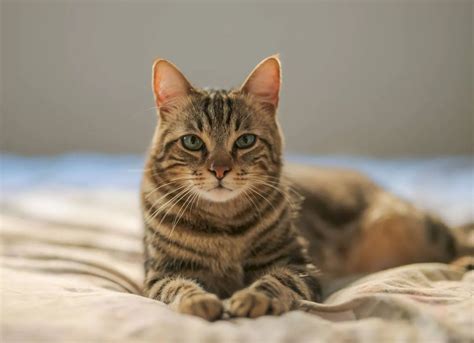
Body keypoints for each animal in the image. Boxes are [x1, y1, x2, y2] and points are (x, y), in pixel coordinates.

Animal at [140, 55, 462, 322]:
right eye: (192, 142)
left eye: (245, 141)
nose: (219, 170)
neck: (223, 225)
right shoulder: (161, 272)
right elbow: (179, 287)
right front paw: (199, 301)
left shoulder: (298, 265)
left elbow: (275, 281)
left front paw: (251, 297)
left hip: (412, 227)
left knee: (459, 239)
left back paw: (461, 264)